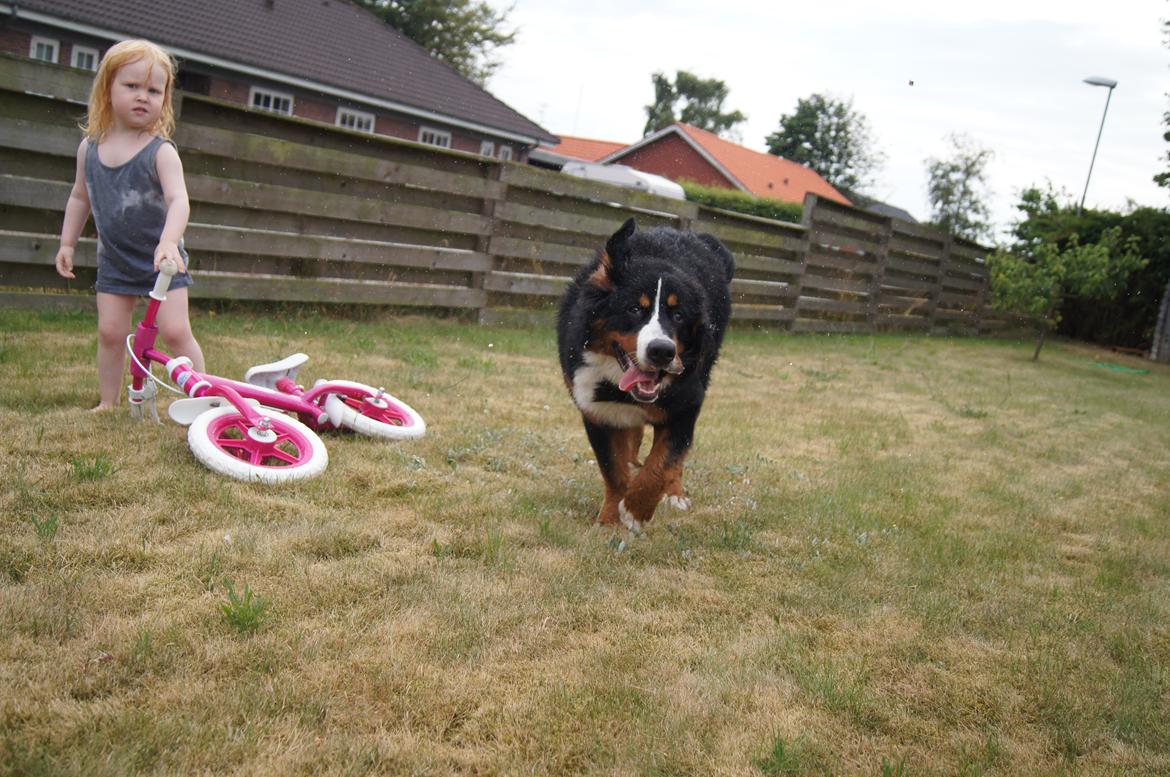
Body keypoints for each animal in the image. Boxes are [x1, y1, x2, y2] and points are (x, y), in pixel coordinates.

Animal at [554, 218, 730, 533]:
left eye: (679, 315)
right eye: (635, 308)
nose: (662, 351)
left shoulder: (686, 405)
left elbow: (662, 462)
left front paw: (637, 509)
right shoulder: (597, 412)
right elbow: (613, 469)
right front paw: (611, 519)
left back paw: (675, 494)